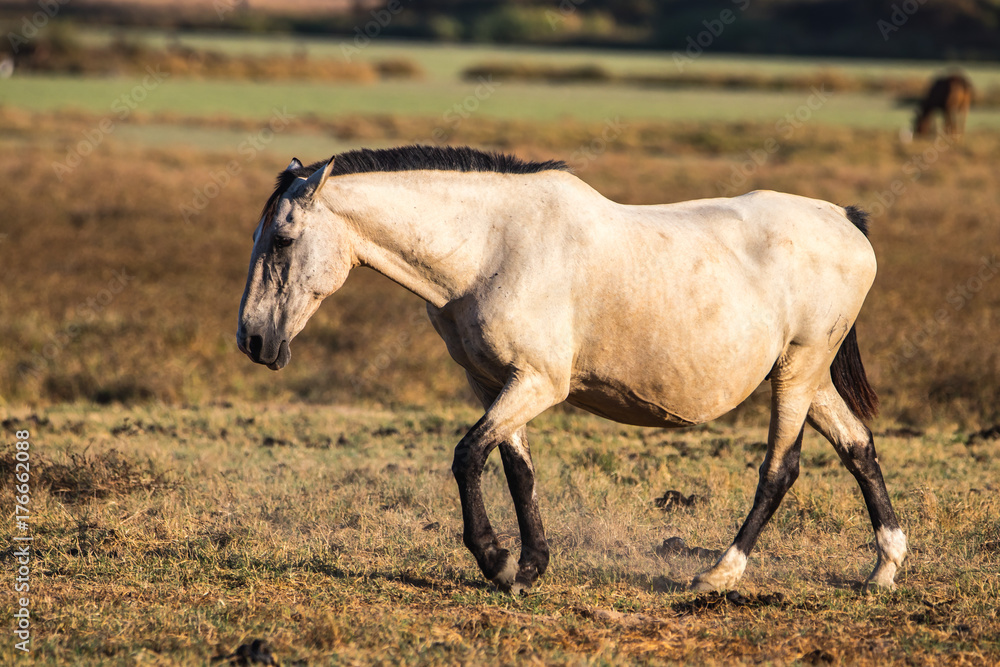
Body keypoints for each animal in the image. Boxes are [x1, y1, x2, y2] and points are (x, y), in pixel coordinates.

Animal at [237, 145, 907, 594]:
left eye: (282, 239)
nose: (252, 339)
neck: (492, 246)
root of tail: (845, 219)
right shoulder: (498, 383)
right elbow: (517, 469)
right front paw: (529, 566)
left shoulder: (538, 382)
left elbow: (468, 456)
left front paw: (495, 560)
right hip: (808, 376)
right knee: (858, 447)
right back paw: (884, 567)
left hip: (799, 369)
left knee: (780, 469)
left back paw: (719, 573)